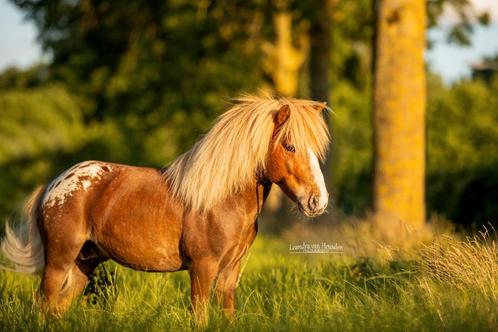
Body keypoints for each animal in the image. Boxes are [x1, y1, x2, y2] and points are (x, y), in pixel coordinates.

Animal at [0, 95, 330, 322]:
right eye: (290, 146)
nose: (318, 201)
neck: (220, 200)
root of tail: (54, 185)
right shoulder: (202, 269)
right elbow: (199, 318)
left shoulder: (230, 273)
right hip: (58, 261)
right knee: (44, 306)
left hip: (84, 263)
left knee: (58, 310)